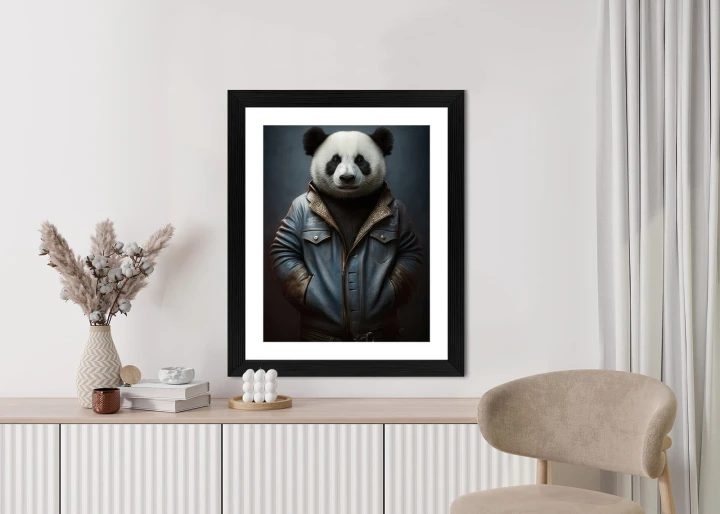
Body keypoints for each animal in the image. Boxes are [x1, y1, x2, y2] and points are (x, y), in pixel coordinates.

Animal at [269, 126, 423, 342]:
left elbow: (408, 248)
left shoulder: (399, 210)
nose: (347, 178)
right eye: (335, 160)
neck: (349, 199)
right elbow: (285, 246)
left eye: (360, 160)